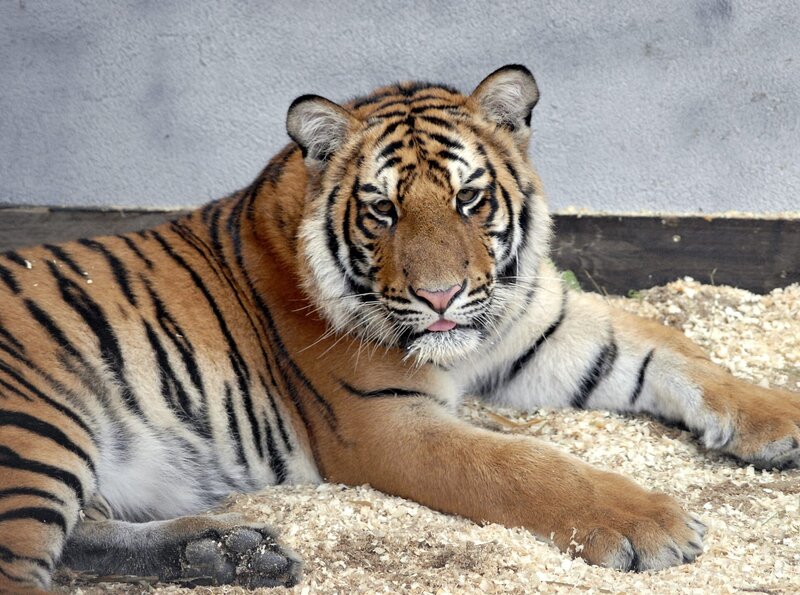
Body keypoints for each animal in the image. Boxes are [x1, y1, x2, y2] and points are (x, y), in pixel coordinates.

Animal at [1, 64, 799, 593]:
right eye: (382, 210)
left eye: (470, 198)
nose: (440, 297)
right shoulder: (384, 423)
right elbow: (524, 467)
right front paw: (652, 522)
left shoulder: (550, 325)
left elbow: (681, 353)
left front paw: (781, 417)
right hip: (38, 432)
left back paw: (226, 551)